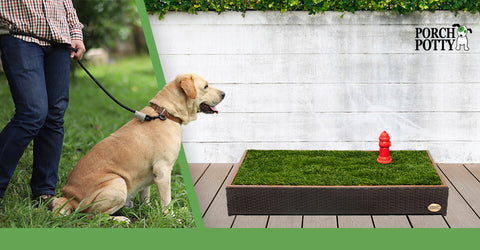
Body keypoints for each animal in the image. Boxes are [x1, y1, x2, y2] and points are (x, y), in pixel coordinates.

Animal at [51, 73, 224, 222]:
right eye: (206, 86)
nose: (224, 94)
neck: (166, 113)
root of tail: (69, 197)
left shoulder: (151, 174)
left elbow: (145, 195)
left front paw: (147, 210)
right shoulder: (163, 170)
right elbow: (167, 201)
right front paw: (171, 217)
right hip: (118, 183)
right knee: (91, 215)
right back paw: (120, 219)